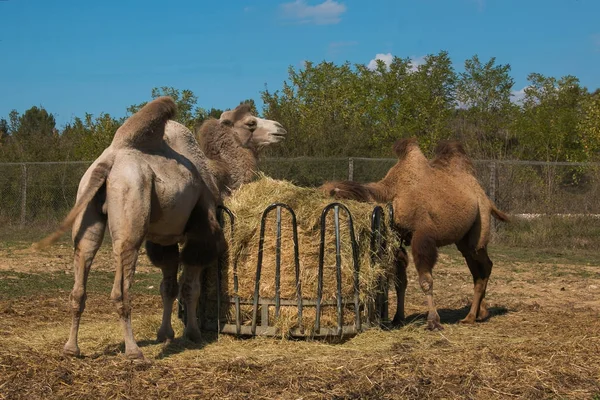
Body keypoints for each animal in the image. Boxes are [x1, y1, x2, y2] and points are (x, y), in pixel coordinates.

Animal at [35, 98, 288, 358]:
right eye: (251, 123)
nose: (280, 129)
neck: (219, 176)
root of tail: (108, 163)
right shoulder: (202, 225)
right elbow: (190, 287)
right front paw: (192, 333)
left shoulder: (164, 238)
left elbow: (168, 287)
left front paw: (165, 333)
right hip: (131, 203)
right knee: (122, 283)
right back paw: (133, 350)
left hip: (87, 203)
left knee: (81, 273)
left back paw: (71, 348)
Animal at [322, 139, 508, 330]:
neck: (393, 194)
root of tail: (485, 197)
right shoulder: (397, 239)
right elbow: (400, 281)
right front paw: (398, 318)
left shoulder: (422, 237)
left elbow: (425, 280)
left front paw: (433, 320)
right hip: (464, 240)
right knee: (477, 267)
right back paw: (480, 313)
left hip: (480, 224)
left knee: (485, 264)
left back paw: (471, 316)